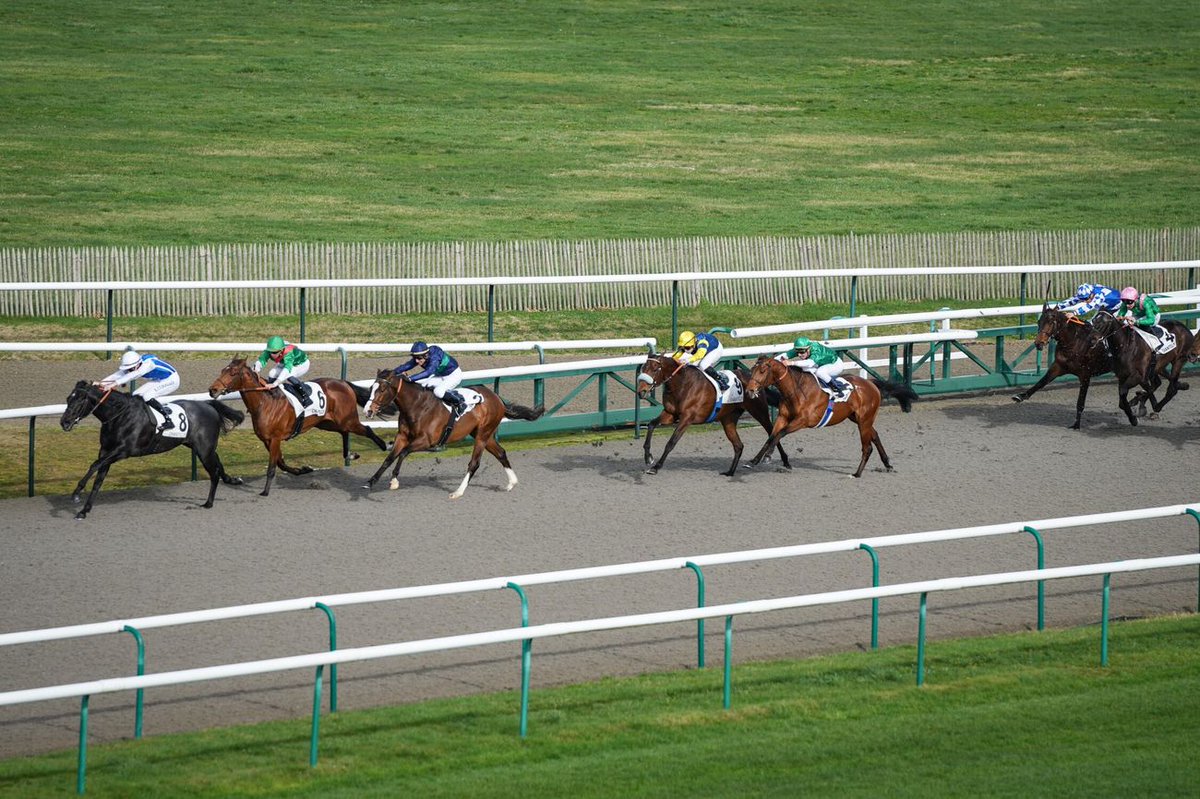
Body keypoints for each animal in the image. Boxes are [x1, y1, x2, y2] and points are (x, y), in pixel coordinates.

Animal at [60, 381, 243, 523]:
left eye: (79, 401)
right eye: (68, 399)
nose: (64, 422)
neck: (119, 414)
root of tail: (208, 404)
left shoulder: (122, 450)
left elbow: (94, 465)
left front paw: (76, 493)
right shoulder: (106, 451)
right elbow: (98, 480)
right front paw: (84, 510)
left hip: (204, 449)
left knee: (214, 472)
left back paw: (208, 503)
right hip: (199, 446)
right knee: (217, 462)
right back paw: (232, 479)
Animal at [208, 357, 386, 494]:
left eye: (232, 373)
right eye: (222, 370)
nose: (212, 389)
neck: (265, 402)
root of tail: (344, 383)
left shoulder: (275, 438)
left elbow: (272, 467)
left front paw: (265, 491)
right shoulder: (266, 440)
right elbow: (281, 463)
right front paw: (302, 470)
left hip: (348, 420)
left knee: (366, 429)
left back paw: (384, 445)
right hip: (327, 423)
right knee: (344, 432)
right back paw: (350, 455)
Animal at [357, 369, 542, 499]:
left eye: (382, 389)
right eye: (371, 388)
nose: (368, 411)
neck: (417, 405)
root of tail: (497, 398)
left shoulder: (427, 441)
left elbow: (403, 453)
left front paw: (394, 480)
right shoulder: (402, 437)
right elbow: (389, 458)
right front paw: (370, 482)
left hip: (482, 435)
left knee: (474, 463)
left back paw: (458, 492)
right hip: (483, 434)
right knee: (501, 453)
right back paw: (511, 483)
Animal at [633, 352, 792, 472]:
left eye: (655, 369)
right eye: (643, 368)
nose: (641, 391)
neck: (682, 384)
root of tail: (755, 381)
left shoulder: (687, 418)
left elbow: (671, 442)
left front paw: (656, 467)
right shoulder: (670, 414)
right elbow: (651, 425)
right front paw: (648, 457)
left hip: (759, 411)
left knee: (772, 432)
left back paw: (784, 461)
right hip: (728, 419)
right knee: (739, 445)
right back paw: (730, 472)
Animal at [739, 352, 916, 475]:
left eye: (762, 370)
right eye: (752, 370)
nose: (750, 390)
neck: (796, 391)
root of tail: (871, 383)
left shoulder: (803, 421)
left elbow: (779, 434)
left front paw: (768, 456)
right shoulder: (783, 417)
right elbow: (771, 436)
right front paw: (754, 460)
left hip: (864, 419)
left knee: (867, 446)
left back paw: (857, 473)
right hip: (858, 418)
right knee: (875, 435)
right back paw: (887, 464)